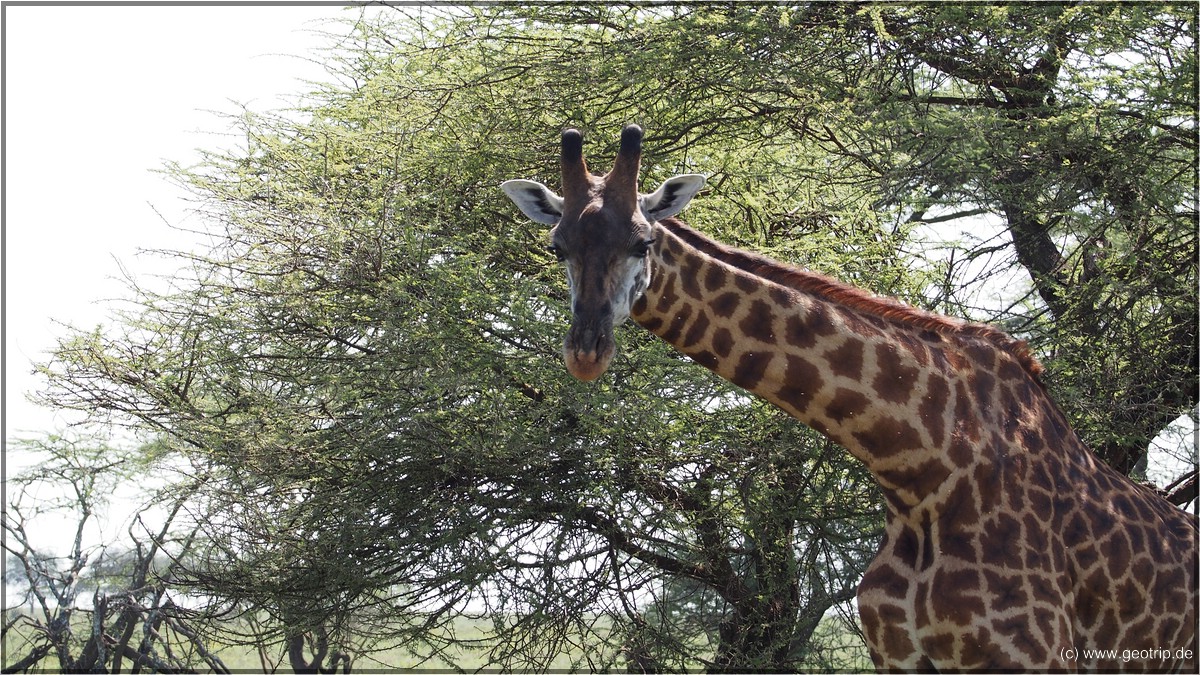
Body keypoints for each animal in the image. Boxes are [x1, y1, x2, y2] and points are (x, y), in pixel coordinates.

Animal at [499, 124, 1200, 667]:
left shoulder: (1033, 657)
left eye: (642, 242)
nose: (585, 352)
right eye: (558, 246)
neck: (919, 470)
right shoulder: (899, 656)